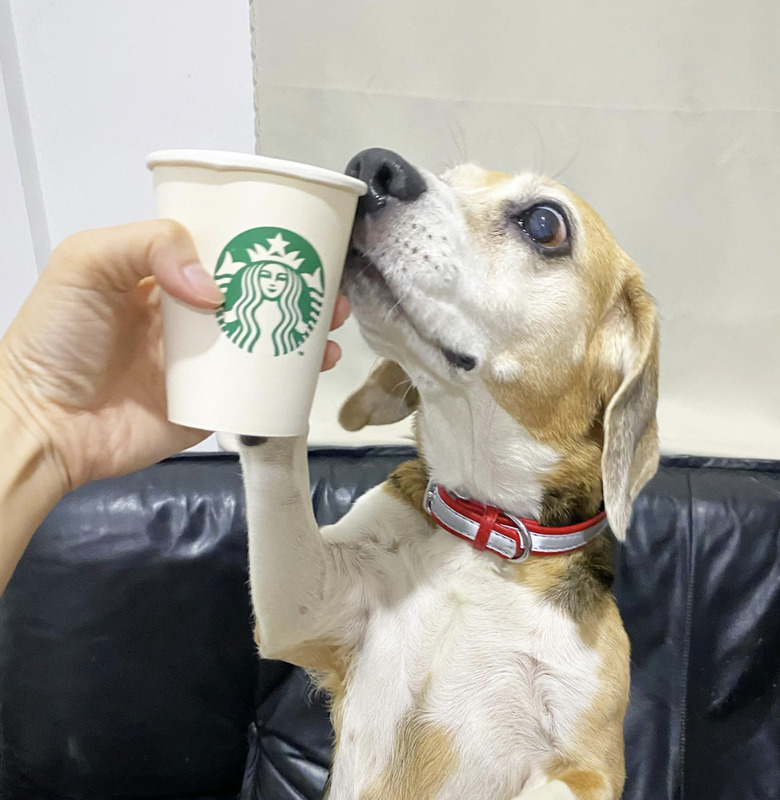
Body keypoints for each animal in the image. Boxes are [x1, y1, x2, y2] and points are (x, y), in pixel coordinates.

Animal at [239, 145, 660, 800]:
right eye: (449, 178)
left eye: (546, 224)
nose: (372, 166)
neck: (486, 532)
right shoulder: (308, 606)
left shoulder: (589, 766)